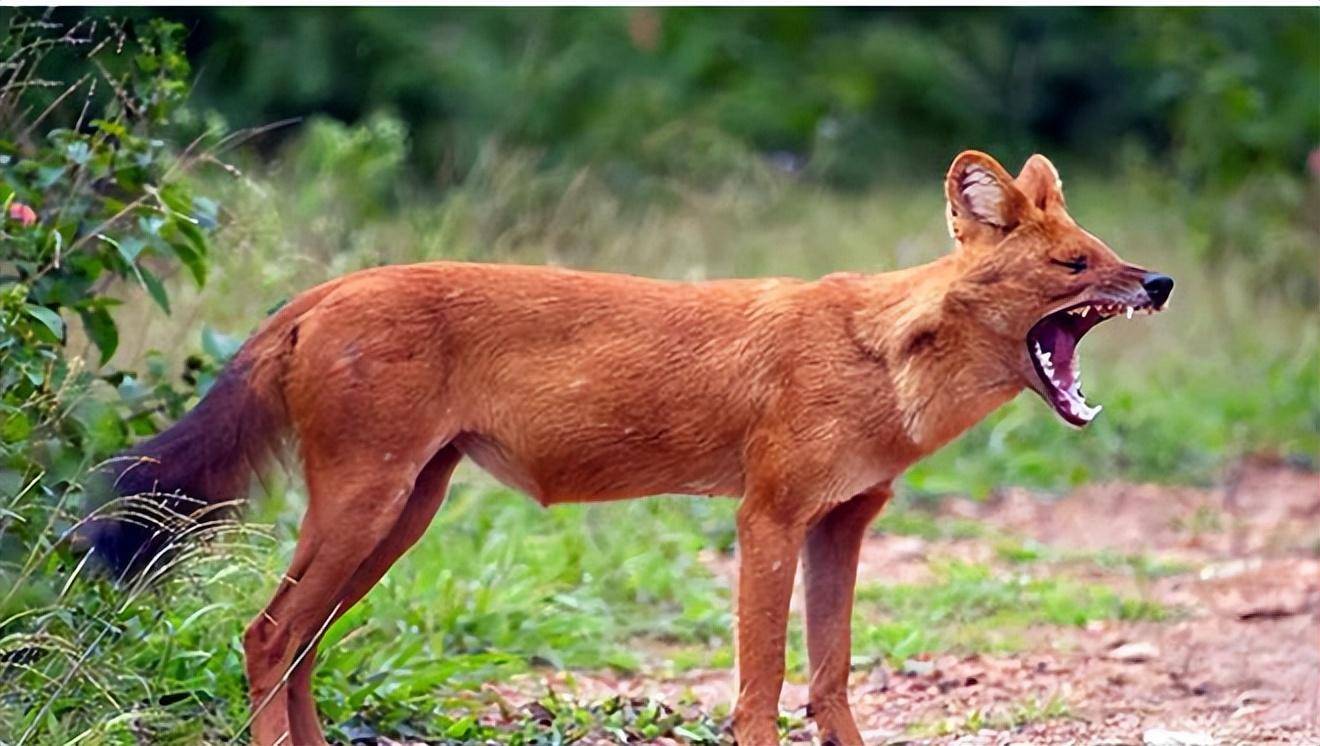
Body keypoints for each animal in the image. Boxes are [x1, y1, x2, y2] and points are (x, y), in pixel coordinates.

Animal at [85, 148, 1177, 739]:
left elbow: (830, 682)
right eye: (1074, 263)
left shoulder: (845, 525)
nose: (1160, 281)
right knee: (269, 636)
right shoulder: (769, 516)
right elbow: (761, 685)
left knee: (299, 646)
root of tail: (321, 289)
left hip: (403, 513)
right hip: (367, 505)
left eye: (1109, 250)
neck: (887, 360)